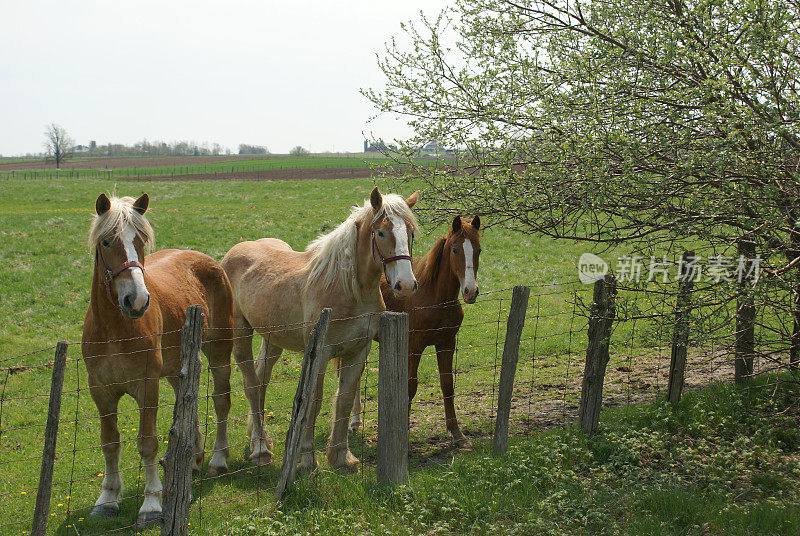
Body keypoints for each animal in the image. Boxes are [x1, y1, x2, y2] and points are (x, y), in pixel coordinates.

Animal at [82, 193, 238, 524]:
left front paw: (152, 503)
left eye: (140, 240)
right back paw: (191, 459)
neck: (114, 328)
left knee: (222, 402)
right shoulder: (100, 392)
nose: (137, 300)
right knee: (188, 404)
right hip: (175, 368)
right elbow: (110, 442)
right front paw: (108, 498)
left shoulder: (147, 386)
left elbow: (147, 443)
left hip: (220, 352)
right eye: (106, 241)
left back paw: (218, 459)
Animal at [219, 186, 418, 472]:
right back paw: (260, 450)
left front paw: (341, 457)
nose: (406, 284)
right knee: (251, 385)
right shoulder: (320, 353)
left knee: (261, 380)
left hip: (272, 339)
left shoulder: (358, 350)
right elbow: (314, 400)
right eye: (381, 232)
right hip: (241, 335)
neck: (348, 288)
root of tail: (231, 255)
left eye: (410, 232)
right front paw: (306, 460)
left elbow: (344, 399)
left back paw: (263, 438)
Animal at [348, 214, 482, 448]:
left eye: (479, 250)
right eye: (455, 249)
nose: (470, 291)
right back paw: (353, 423)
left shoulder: (446, 343)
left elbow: (447, 384)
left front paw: (457, 433)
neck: (436, 299)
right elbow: (410, 386)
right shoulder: (414, 346)